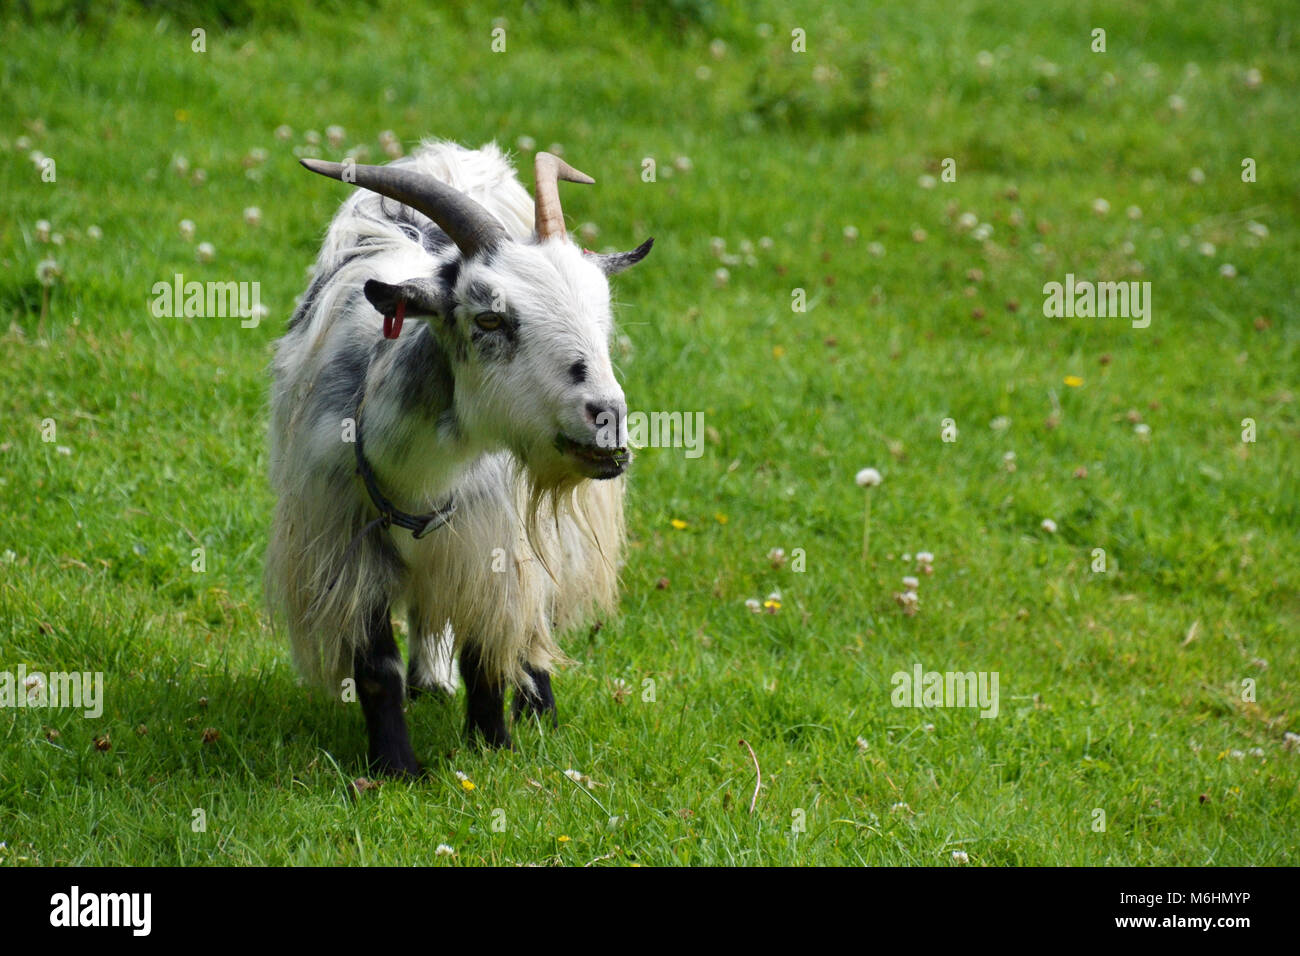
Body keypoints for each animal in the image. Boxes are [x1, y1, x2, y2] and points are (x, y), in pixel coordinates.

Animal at [266, 140, 652, 775]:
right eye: (489, 318)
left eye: (604, 317)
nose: (607, 419)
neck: (417, 481)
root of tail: (457, 157)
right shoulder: (345, 540)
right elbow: (377, 668)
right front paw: (396, 768)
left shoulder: (490, 541)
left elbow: (489, 650)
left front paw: (493, 746)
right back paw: (430, 682)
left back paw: (537, 707)